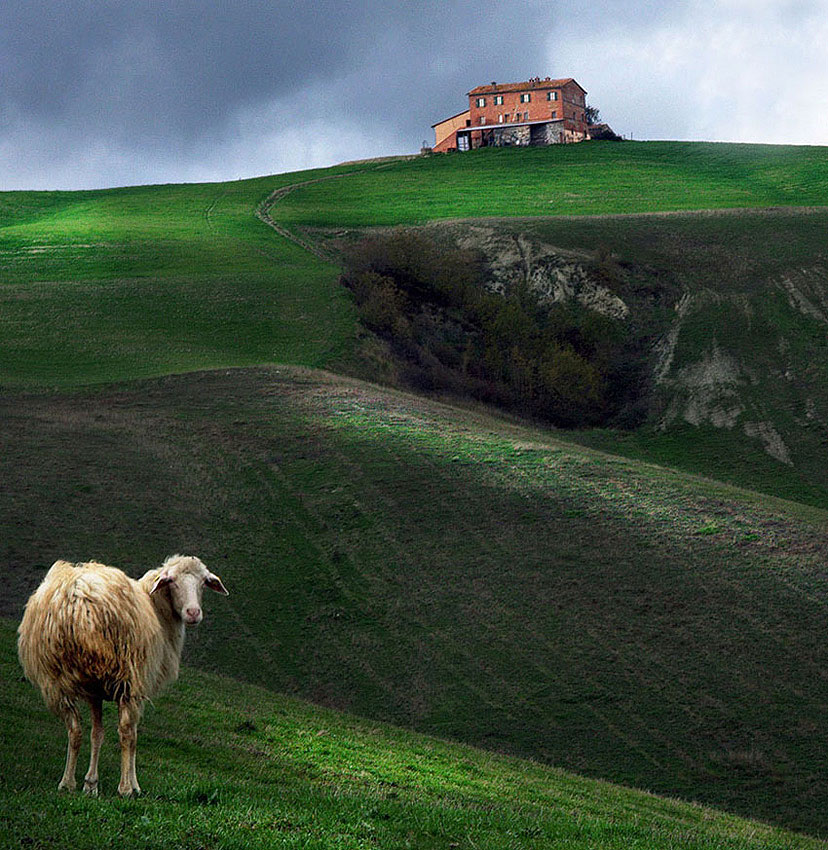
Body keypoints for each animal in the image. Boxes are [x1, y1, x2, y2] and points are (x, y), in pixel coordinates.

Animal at [17, 556, 230, 796]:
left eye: (203, 582)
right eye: (172, 581)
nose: (193, 613)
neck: (157, 608)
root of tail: (78, 599)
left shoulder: (94, 690)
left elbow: (97, 734)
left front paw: (90, 784)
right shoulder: (137, 685)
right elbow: (132, 736)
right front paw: (133, 784)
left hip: (55, 679)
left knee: (74, 730)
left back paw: (67, 782)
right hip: (127, 676)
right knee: (127, 733)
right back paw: (125, 788)